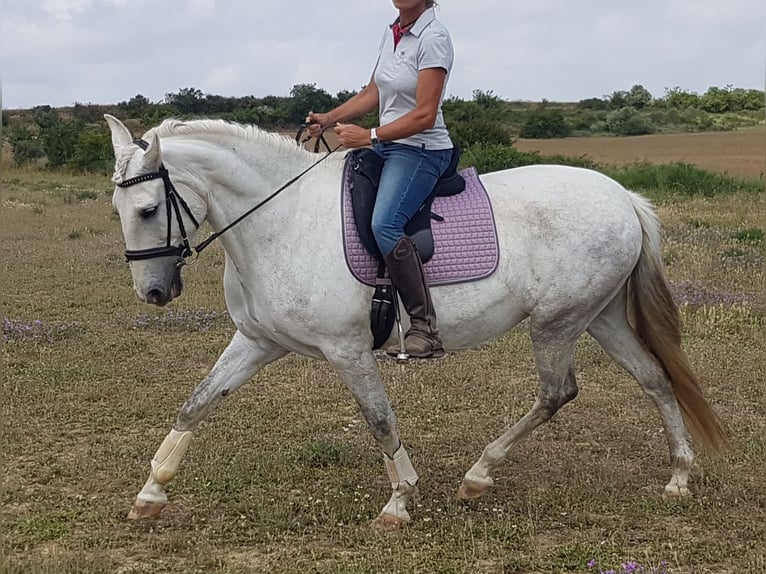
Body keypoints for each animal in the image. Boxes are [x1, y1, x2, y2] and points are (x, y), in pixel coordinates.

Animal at [103, 113, 728, 532]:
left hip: (557, 323)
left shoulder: (347, 350)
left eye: (149, 209)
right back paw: (678, 475)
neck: (283, 221)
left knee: (557, 393)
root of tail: (622, 197)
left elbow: (380, 421)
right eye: (119, 211)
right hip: (600, 318)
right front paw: (151, 492)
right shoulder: (257, 341)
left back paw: (480, 472)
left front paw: (399, 501)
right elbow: (196, 403)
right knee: (653, 378)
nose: (154, 292)